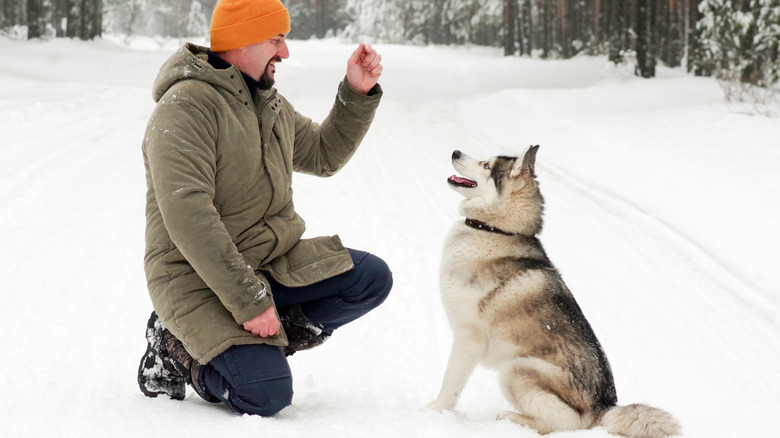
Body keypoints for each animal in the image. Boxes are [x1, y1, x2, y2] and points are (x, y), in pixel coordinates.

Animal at [430, 148, 680, 438]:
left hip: (516, 370)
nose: (455, 151)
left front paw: (432, 411)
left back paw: (511, 418)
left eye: (486, 165)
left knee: (564, 423)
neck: (497, 230)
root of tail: (603, 408)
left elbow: (450, 384)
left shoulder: (469, 337)